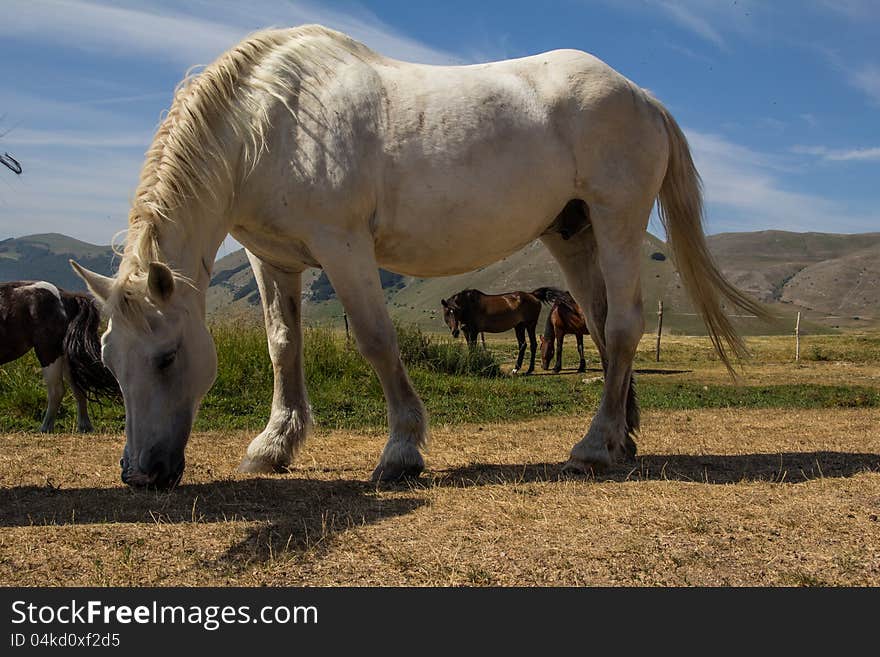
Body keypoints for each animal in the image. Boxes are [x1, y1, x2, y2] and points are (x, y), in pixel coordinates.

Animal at [0, 280, 118, 430]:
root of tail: (67, 296)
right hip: (66, 358)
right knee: (78, 388)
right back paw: (84, 426)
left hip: (48, 353)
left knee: (56, 391)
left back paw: (46, 427)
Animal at [72, 25, 768, 486]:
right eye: (108, 359)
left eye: (166, 357)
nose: (139, 475)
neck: (271, 121)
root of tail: (642, 95)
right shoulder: (275, 261)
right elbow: (282, 346)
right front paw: (274, 446)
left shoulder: (344, 247)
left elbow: (377, 341)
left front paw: (401, 451)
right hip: (573, 233)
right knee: (598, 324)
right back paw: (623, 435)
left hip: (617, 222)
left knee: (621, 326)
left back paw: (594, 446)